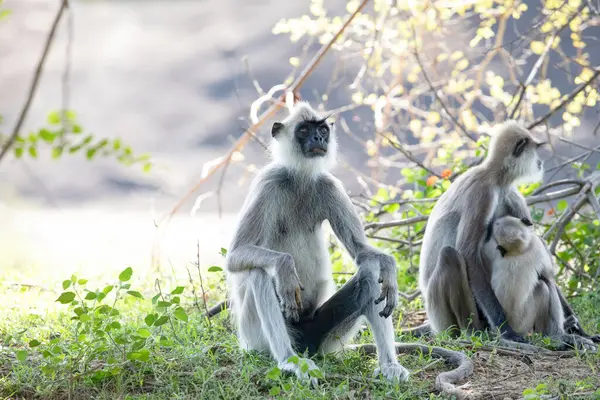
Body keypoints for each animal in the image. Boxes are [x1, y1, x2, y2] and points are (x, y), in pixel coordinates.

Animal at [224, 101, 408, 382]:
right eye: (303, 130)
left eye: (322, 129)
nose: (318, 139)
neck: (299, 177)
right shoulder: (269, 181)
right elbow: (236, 255)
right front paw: (285, 267)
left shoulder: (329, 184)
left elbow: (362, 252)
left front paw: (388, 266)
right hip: (254, 340)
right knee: (259, 273)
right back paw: (289, 361)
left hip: (323, 339)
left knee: (369, 272)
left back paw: (389, 365)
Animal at [420, 119, 596, 346]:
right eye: (535, 149)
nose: (540, 162)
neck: (497, 178)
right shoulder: (483, 191)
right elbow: (468, 253)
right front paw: (507, 331)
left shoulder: (511, 195)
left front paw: (581, 332)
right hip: (441, 317)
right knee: (451, 255)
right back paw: (473, 332)